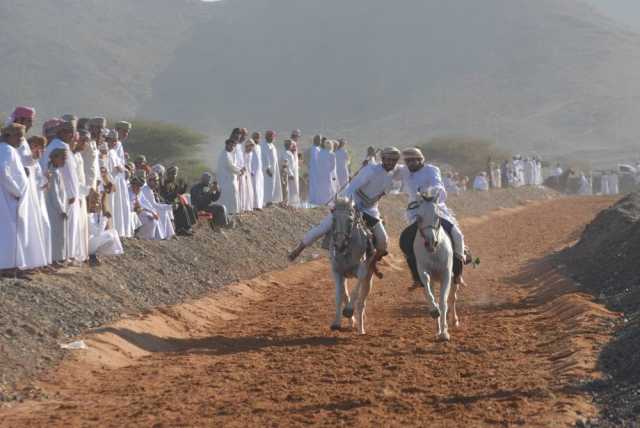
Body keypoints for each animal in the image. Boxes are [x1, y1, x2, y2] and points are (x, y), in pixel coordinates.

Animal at [416, 191, 460, 342]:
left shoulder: (446, 274)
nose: (430, 243)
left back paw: (454, 320)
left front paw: (444, 333)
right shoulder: (423, 271)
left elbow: (443, 302)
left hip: (454, 278)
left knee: (453, 297)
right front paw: (434, 312)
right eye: (419, 217)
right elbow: (429, 292)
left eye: (437, 216)